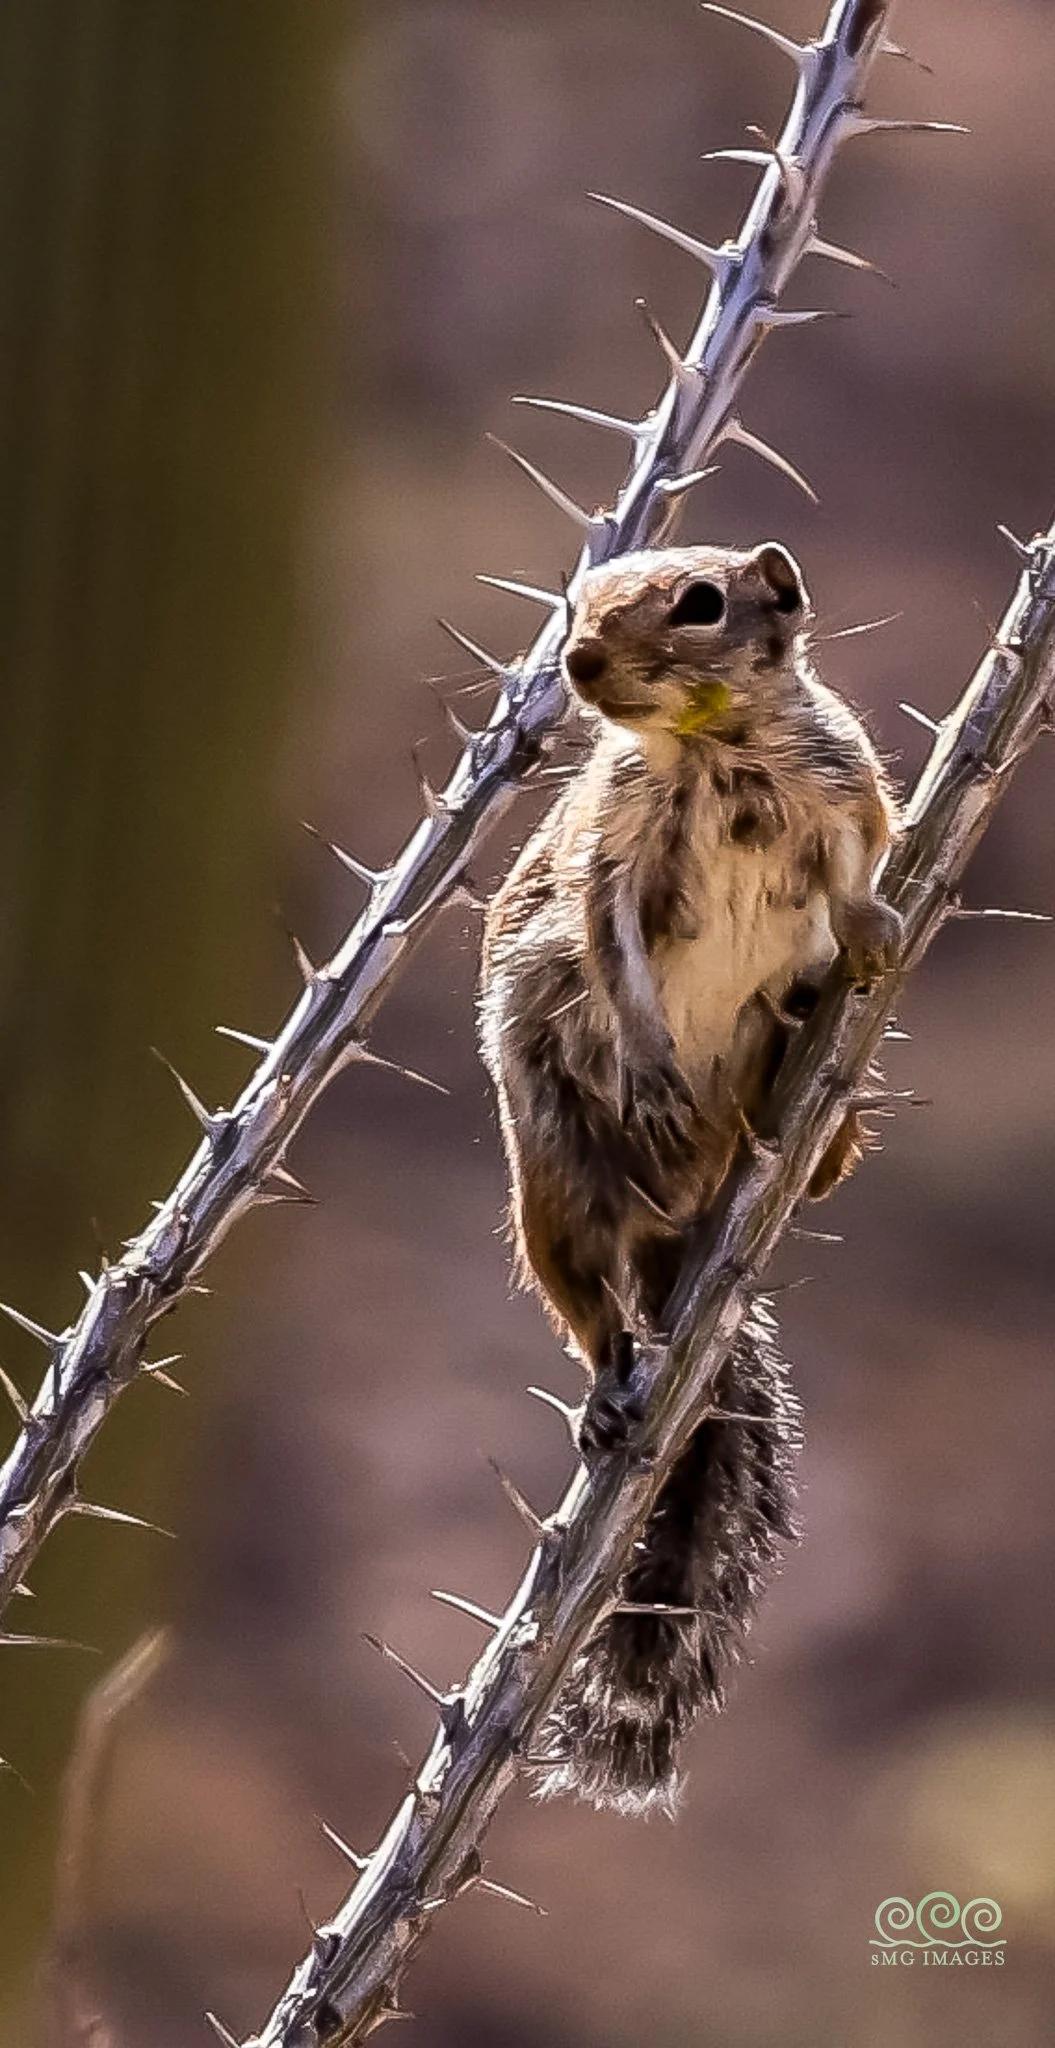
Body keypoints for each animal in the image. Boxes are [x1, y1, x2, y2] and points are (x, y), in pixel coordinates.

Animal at [479, 539, 901, 1815]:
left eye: (701, 602)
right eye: (576, 597)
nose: (575, 659)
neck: (713, 754)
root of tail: (685, 1225)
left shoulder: (845, 783)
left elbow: (863, 855)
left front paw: (870, 924)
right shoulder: (610, 849)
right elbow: (604, 940)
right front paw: (650, 1061)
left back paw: (823, 1132)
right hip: (557, 1189)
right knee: (590, 1302)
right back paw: (613, 1388)